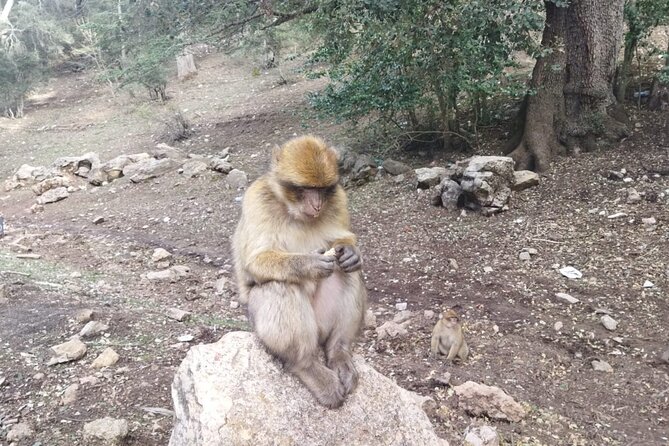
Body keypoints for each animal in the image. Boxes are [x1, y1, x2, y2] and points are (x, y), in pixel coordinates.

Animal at [232, 135, 367, 409]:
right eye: (305, 189)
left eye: (322, 190)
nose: (317, 205)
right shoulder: (257, 201)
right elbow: (255, 261)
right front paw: (309, 263)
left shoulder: (338, 199)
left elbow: (344, 240)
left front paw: (351, 252)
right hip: (260, 322)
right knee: (280, 286)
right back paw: (306, 365)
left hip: (323, 322)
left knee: (347, 273)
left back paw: (339, 352)